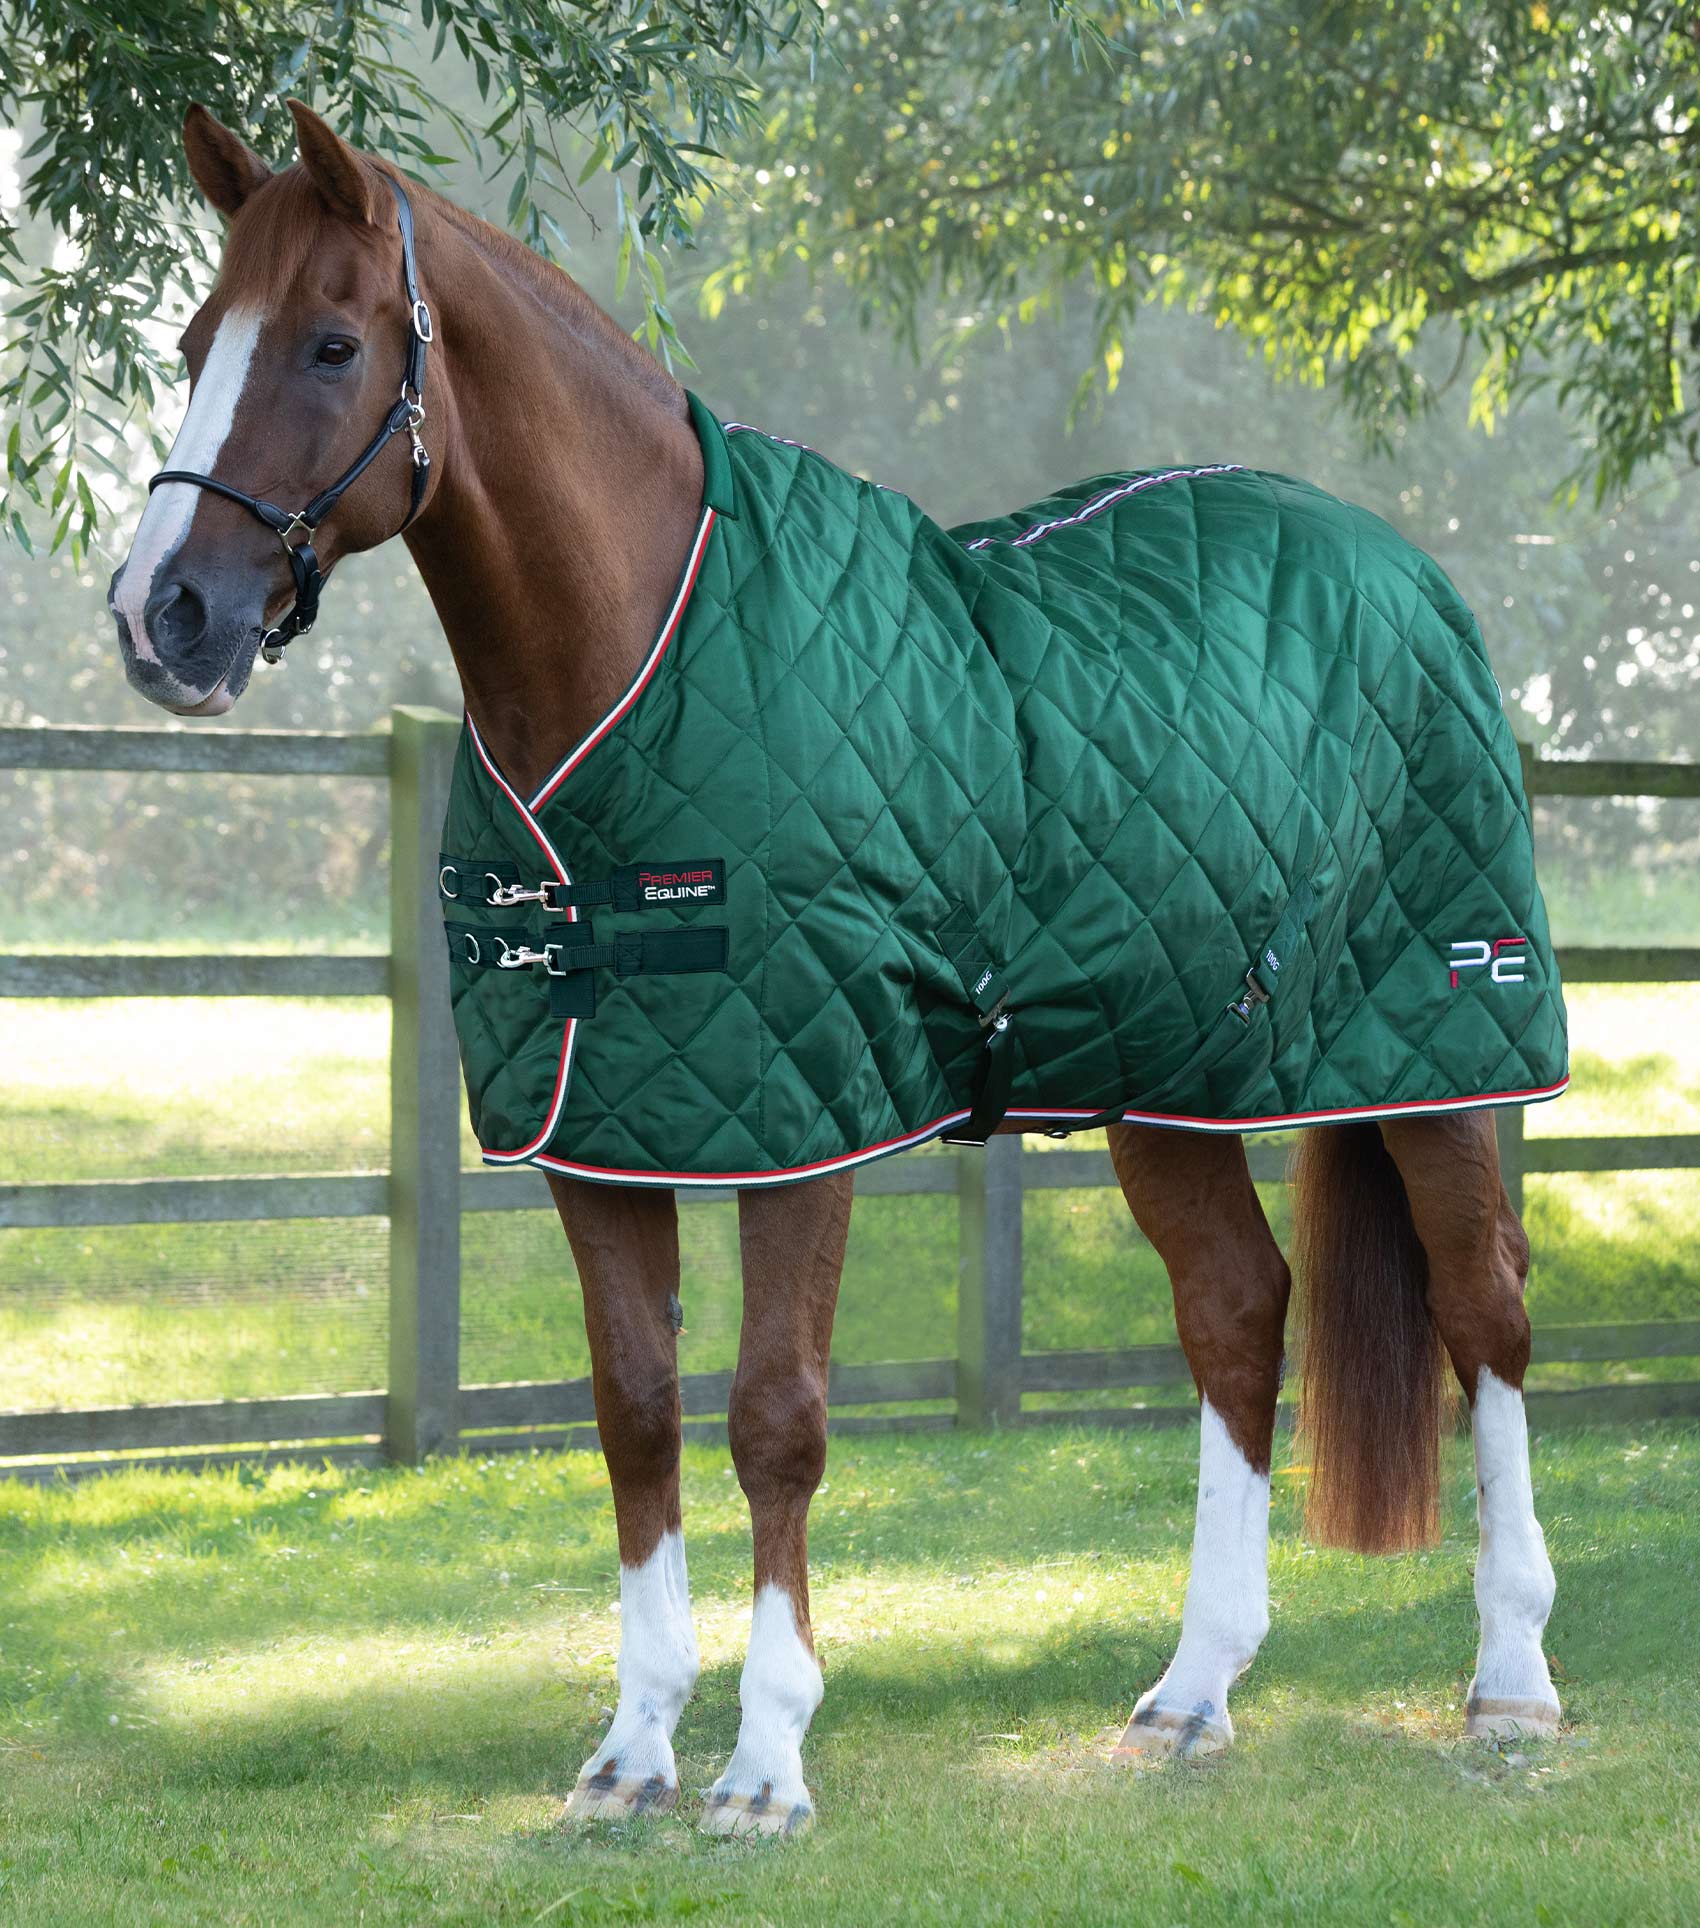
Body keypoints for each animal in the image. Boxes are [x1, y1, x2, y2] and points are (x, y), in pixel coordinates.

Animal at [107, 101, 1563, 1835]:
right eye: (193, 340)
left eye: (331, 345)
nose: (162, 614)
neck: (643, 659)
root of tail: (1400, 568)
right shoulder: (597, 1135)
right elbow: (636, 1415)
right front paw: (633, 1753)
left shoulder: (803, 1117)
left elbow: (775, 1419)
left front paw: (765, 1763)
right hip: (1167, 1077)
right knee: (1236, 1311)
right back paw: (1194, 1692)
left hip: (1442, 1043)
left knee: (1483, 1312)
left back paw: (1512, 1683)